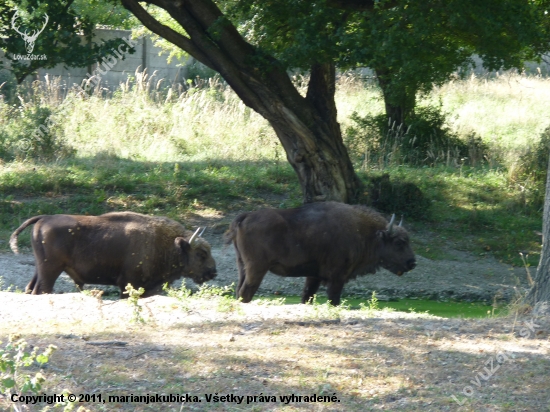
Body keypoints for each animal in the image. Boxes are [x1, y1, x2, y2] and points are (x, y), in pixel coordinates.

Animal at [10, 212, 218, 296]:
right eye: (201, 253)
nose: (213, 272)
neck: (167, 243)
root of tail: (44, 218)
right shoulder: (128, 284)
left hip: (40, 268)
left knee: (31, 288)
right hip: (51, 270)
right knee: (41, 290)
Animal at [226, 201, 416, 304]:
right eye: (399, 242)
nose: (412, 262)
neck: (364, 232)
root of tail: (245, 217)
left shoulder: (314, 276)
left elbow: (307, 296)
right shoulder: (337, 278)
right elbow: (334, 299)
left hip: (242, 265)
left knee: (239, 291)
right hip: (257, 268)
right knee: (246, 292)